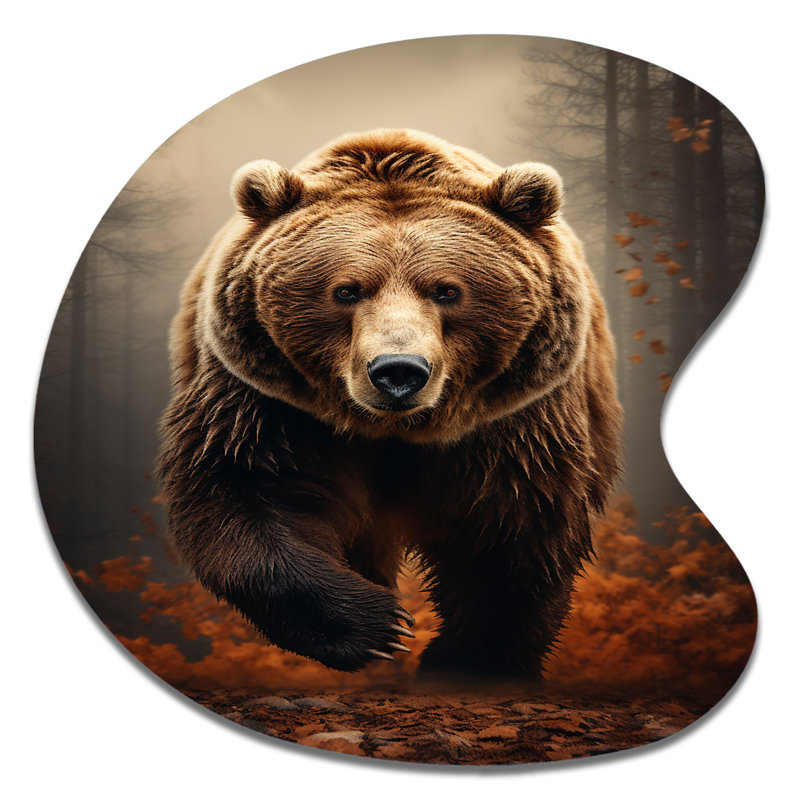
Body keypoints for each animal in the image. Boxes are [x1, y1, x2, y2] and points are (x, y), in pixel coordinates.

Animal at [157, 128, 622, 681]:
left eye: (447, 290)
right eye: (346, 290)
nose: (398, 371)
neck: (396, 430)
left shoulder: (516, 415)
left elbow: (511, 525)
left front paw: (471, 661)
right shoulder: (266, 399)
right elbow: (247, 488)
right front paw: (376, 627)